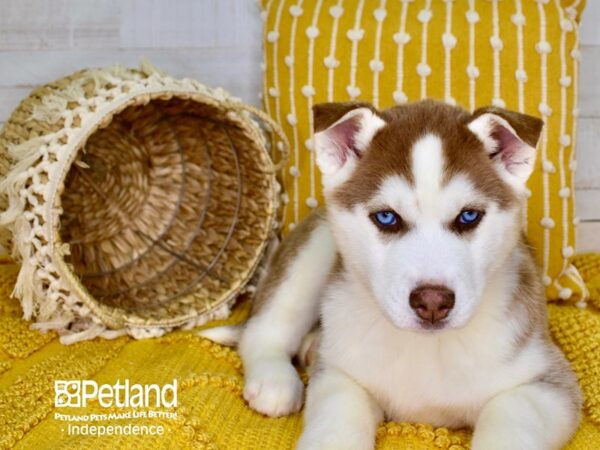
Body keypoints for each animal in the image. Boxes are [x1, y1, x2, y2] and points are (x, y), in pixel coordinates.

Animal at [202, 100, 580, 448]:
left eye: (469, 216)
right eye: (386, 218)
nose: (432, 302)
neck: (425, 348)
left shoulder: (548, 384)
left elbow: (510, 419)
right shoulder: (342, 375)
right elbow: (338, 421)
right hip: (317, 245)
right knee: (263, 329)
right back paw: (275, 379)